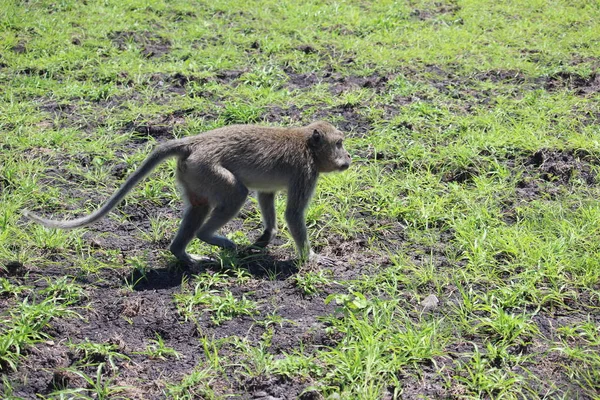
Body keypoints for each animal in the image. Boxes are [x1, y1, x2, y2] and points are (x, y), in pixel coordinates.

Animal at [23, 120, 352, 268]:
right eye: (339, 143)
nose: (348, 158)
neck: (307, 144)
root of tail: (194, 142)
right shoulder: (305, 173)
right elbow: (292, 213)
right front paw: (311, 256)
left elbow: (267, 197)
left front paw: (266, 236)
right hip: (206, 168)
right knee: (235, 193)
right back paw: (208, 237)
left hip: (192, 173)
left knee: (199, 206)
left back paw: (181, 252)